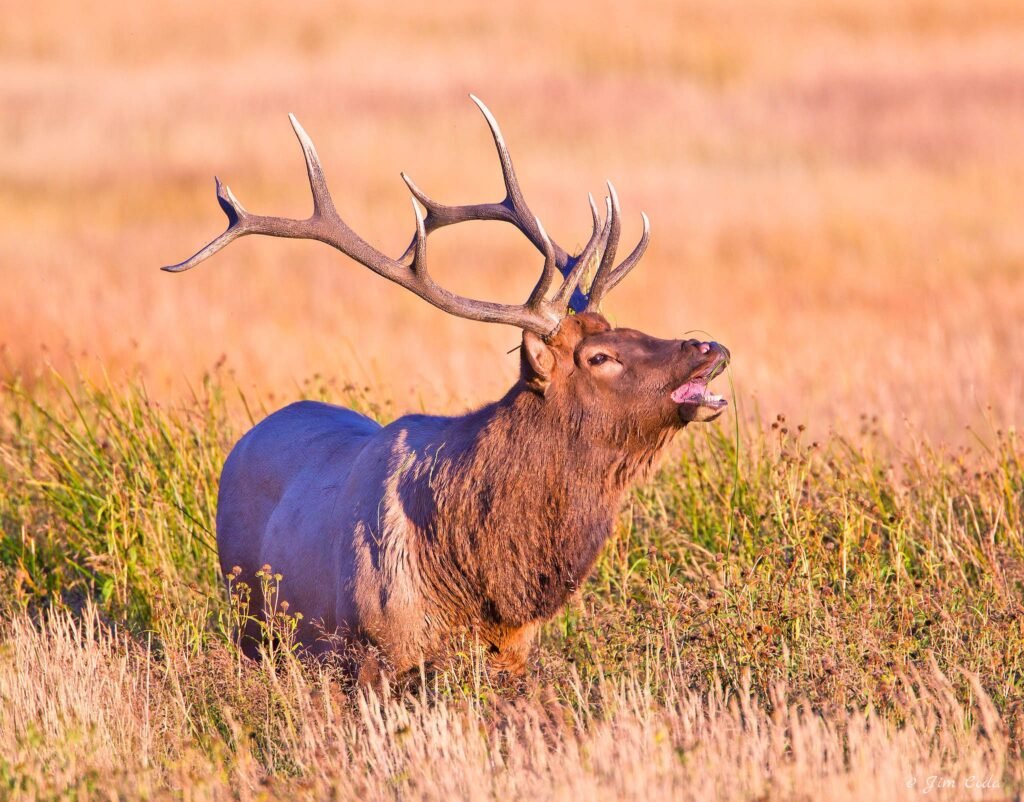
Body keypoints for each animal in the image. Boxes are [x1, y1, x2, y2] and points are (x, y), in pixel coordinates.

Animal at [163, 96, 730, 682]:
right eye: (599, 357)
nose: (708, 347)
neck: (480, 578)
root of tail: (247, 438)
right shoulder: (376, 650)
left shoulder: (514, 653)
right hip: (248, 617)